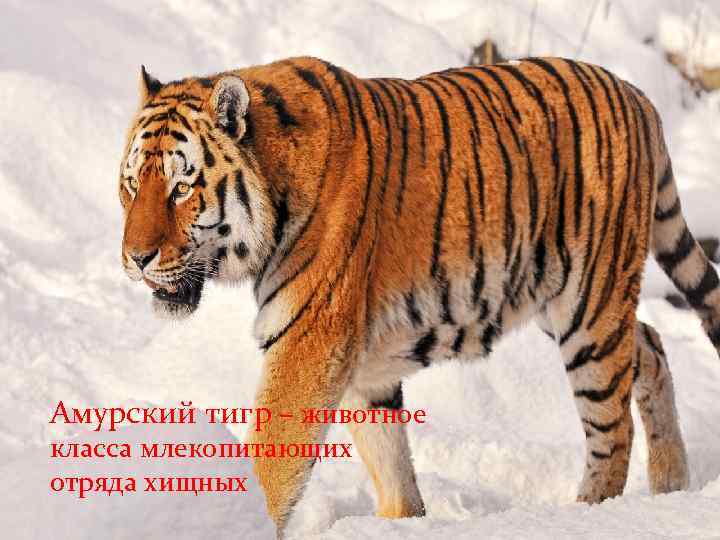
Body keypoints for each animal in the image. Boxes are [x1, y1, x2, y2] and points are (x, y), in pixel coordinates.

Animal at [119, 56, 720, 537]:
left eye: (181, 188)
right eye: (131, 185)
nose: (136, 258)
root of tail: (636, 94)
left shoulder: (309, 340)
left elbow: (273, 457)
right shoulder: (358, 358)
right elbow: (389, 458)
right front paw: (400, 521)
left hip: (588, 305)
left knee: (612, 428)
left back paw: (591, 513)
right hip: (566, 298)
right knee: (651, 343)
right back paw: (671, 483)